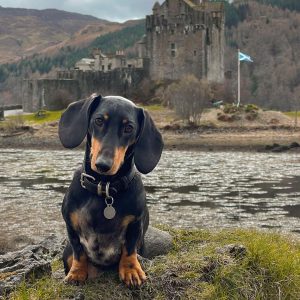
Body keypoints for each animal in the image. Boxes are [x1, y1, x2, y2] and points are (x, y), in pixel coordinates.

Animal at [57, 95, 163, 288]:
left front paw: (131, 270)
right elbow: (78, 251)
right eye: (99, 120)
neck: (104, 187)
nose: (102, 165)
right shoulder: (70, 224)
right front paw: (76, 273)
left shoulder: (135, 223)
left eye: (129, 128)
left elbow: (129, 249)